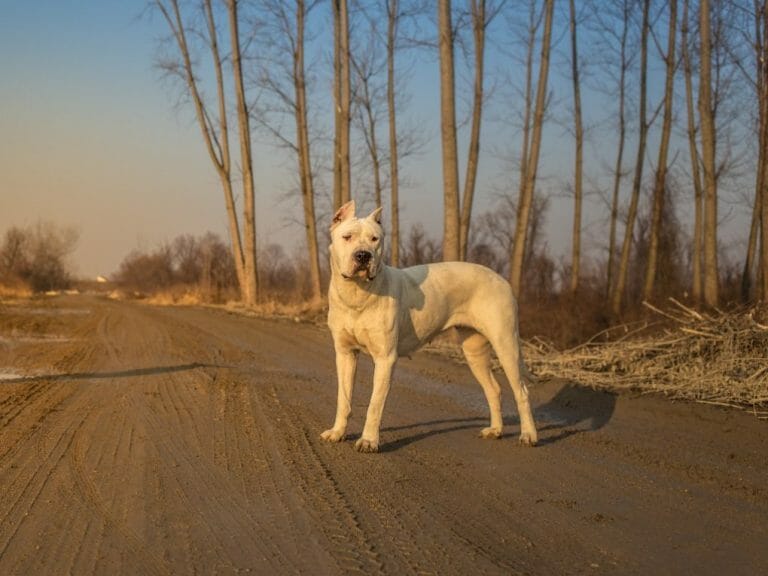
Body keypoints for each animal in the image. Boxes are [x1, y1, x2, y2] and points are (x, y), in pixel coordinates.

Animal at [320, 200, 536, 452]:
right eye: (347, 237)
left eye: (375, 239)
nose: (363, 255)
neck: (357, 293)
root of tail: (503, 280)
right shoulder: (345, 354)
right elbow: (343, 398)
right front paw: (337, 432)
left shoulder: (385, 358)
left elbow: (374, 405)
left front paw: (368, 441)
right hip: (474, 351)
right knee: (494, 389)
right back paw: (496, 430)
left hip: (505, 344)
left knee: (522, 392)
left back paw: (529, 435)